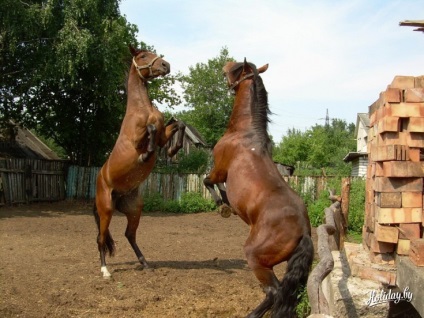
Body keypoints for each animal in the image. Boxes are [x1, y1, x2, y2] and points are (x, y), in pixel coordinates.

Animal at [94, 47, 184, 278]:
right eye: (143, 56)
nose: (166, 65)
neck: (142, 109)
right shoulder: (137, 138)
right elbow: (150, 130)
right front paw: (146, 155)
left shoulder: (162, 135)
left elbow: (179, 124)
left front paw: (173, 150)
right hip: (106, 210)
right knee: (101, 238)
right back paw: (105, 271)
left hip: (135, 209)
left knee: (129, 235)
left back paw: (145, 263)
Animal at [204, 60, 314, 318]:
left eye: (235, 67)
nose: (224, 66)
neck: (245, 134)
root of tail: (304, 230)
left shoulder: (218, 170)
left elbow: (208, 182)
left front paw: (222, 205)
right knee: (287, 294)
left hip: (256, 258)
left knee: (274, 292)